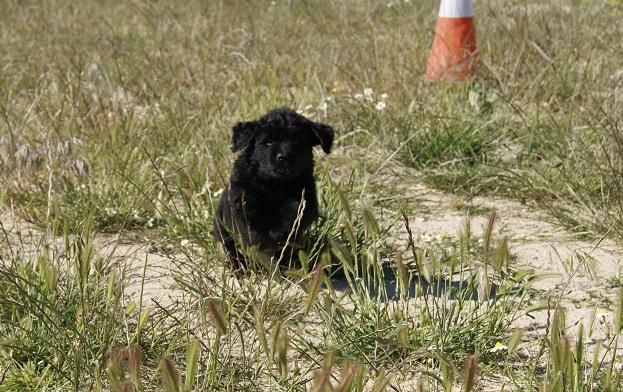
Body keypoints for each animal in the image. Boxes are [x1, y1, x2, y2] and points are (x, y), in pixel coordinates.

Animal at [212, 108, 334, 270]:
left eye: (297, 142)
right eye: (268, 142)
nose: (284, 157)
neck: (274, 183)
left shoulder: (307, 200)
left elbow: (294, 207)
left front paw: (278, 232)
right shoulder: (238, 189)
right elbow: (244, 196)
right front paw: (246, 203)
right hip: (222, 231)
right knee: (229, 250)